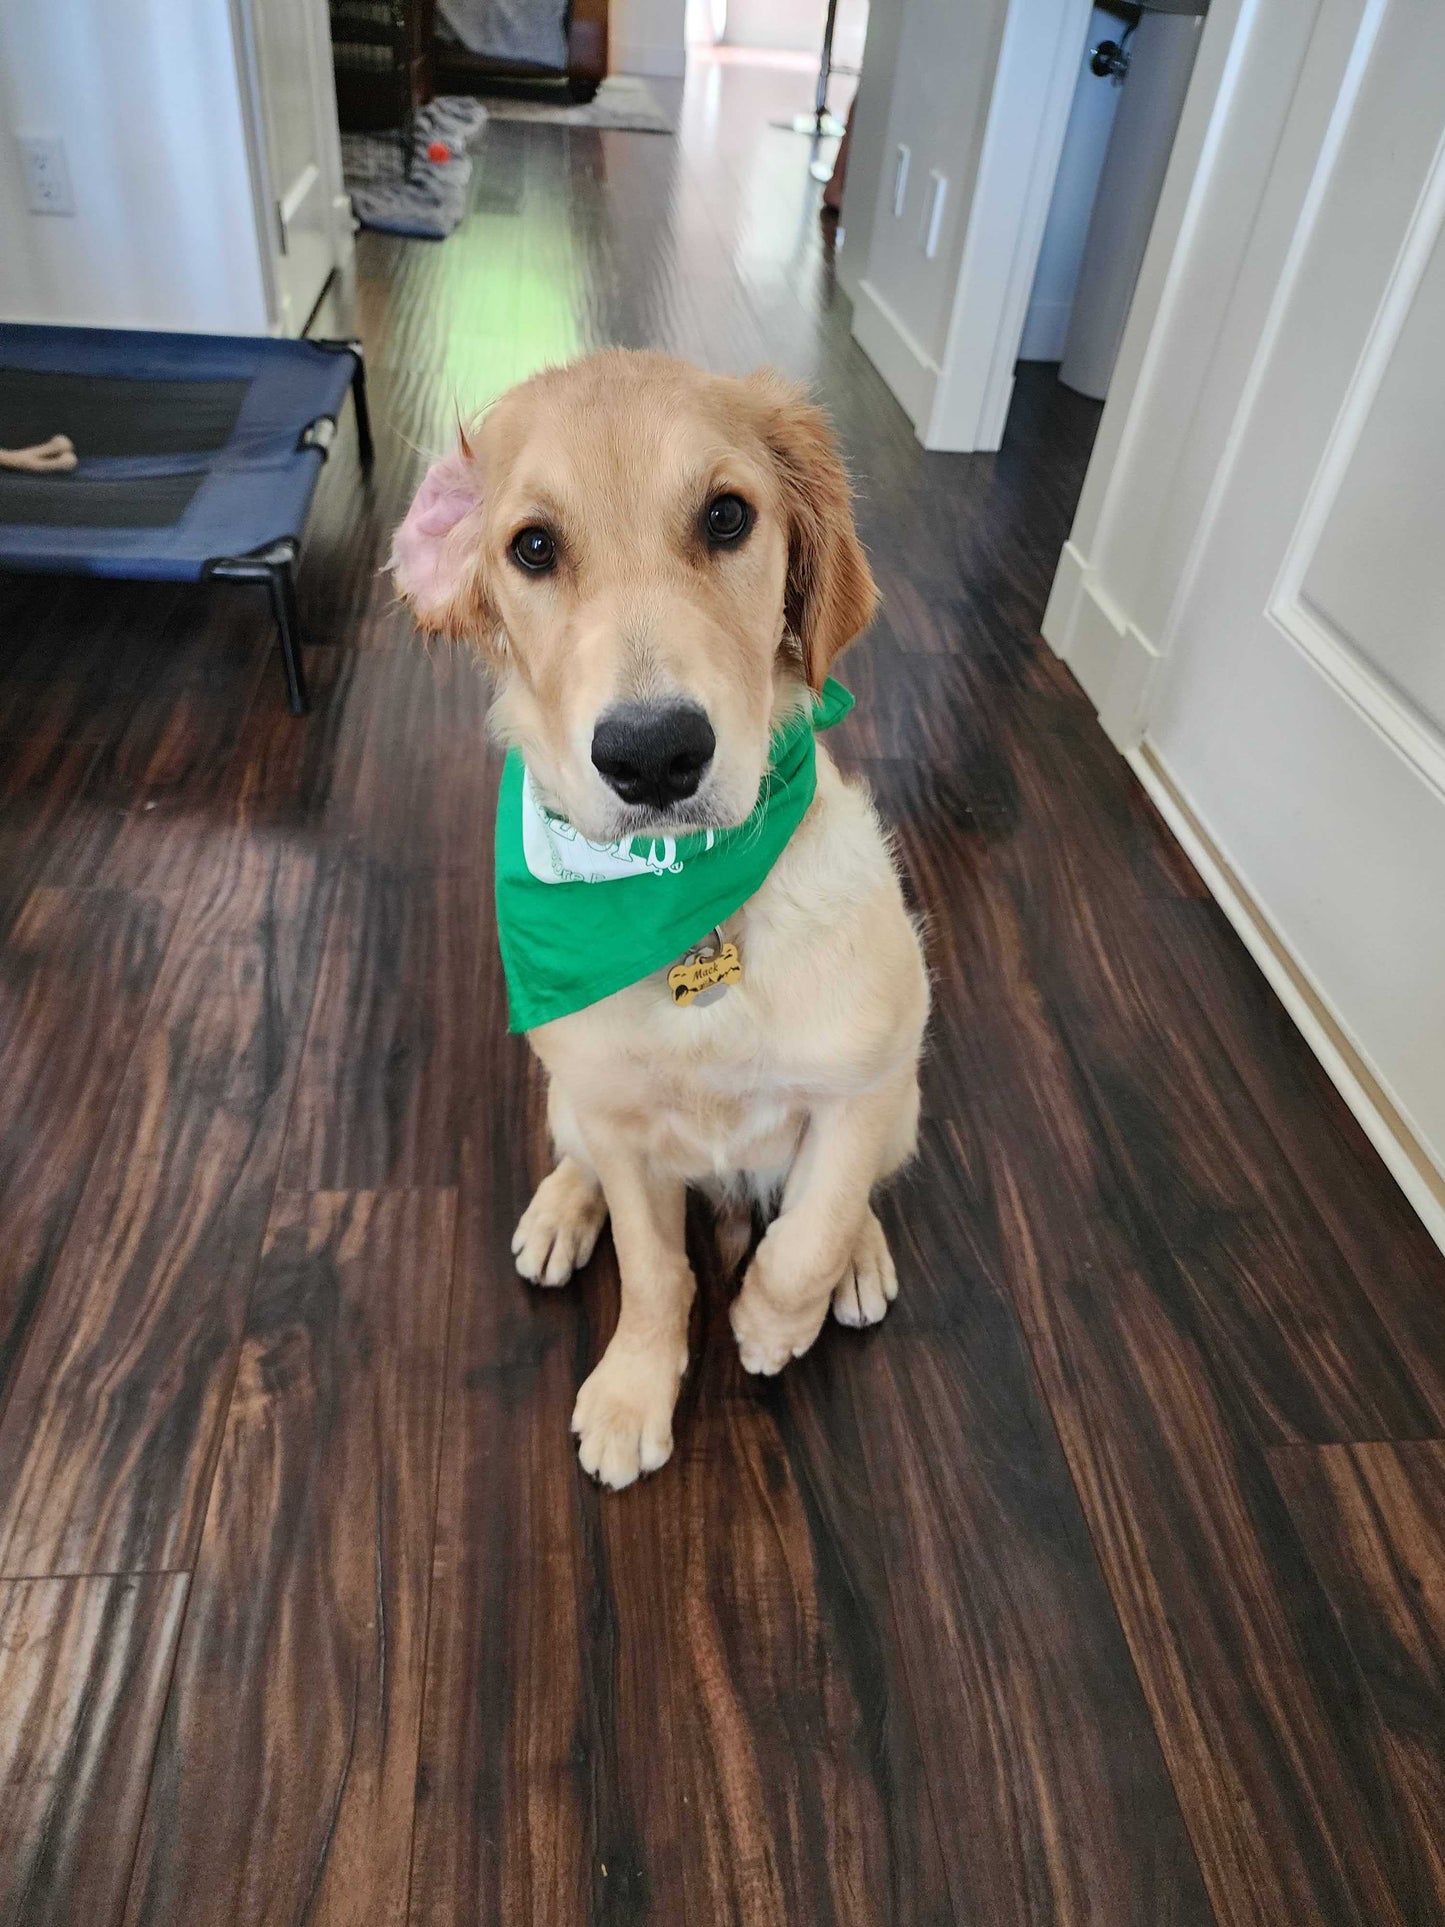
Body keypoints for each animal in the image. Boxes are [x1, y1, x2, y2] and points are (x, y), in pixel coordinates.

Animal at [391, 350, 928, 1487]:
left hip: (904, 1095)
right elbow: (652, 1274)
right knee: (576, 1152)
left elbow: (811, 1224)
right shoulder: (625, 1126)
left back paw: (858, 1259)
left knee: (854, 1190)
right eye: (532, 546)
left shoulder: (865, 1079)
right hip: (571, 1093)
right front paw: (634, 1390)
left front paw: (775, 1320)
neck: (686, 907)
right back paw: (560, 1210)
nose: (652, 756)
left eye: (727, 516)